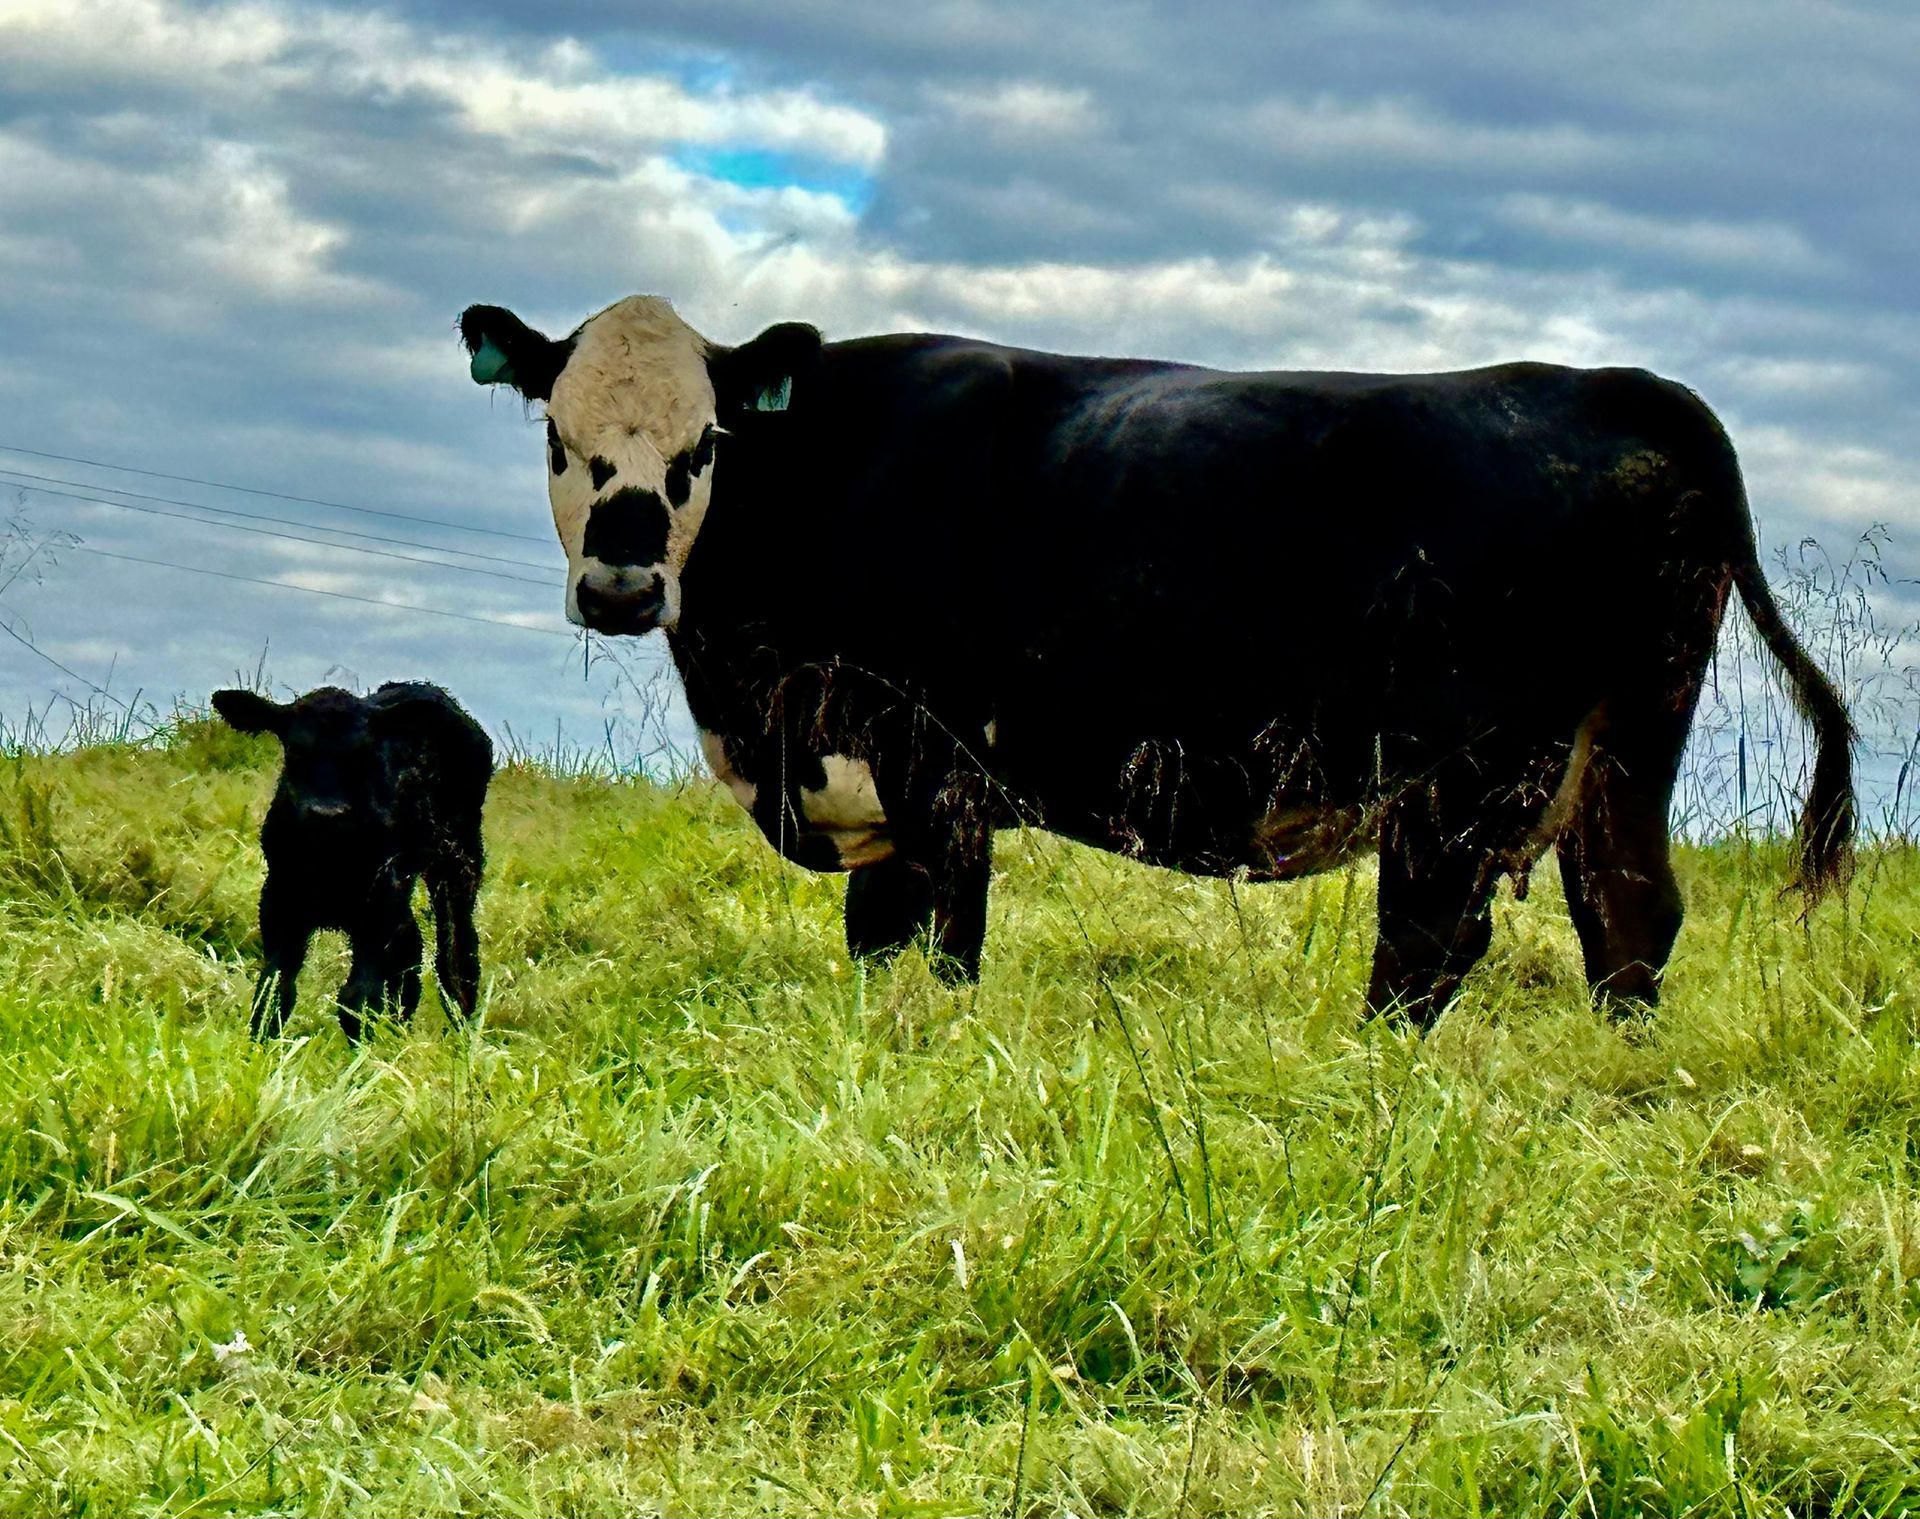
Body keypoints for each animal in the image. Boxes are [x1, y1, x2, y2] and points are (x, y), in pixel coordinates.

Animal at [212, 682, 494, 1040]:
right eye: (295, 752)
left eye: (362, 756)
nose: (326, 813)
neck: (330, 857)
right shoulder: (280, 898)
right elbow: (274, 991)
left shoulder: (378, 902)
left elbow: (355, 998)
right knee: (411, 944)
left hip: (458, 857)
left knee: (456, 949)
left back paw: (461, 1024)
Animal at [457, 294, 1854, 1025]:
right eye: (559, 439)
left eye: (703, 445)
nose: (623, 584)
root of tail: (1624, 385)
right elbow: (879, 942)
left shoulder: (936, 768)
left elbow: (946, 941)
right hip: (1626, 746)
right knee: (1628, 913)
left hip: (1467, 776)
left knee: (1431, 942)